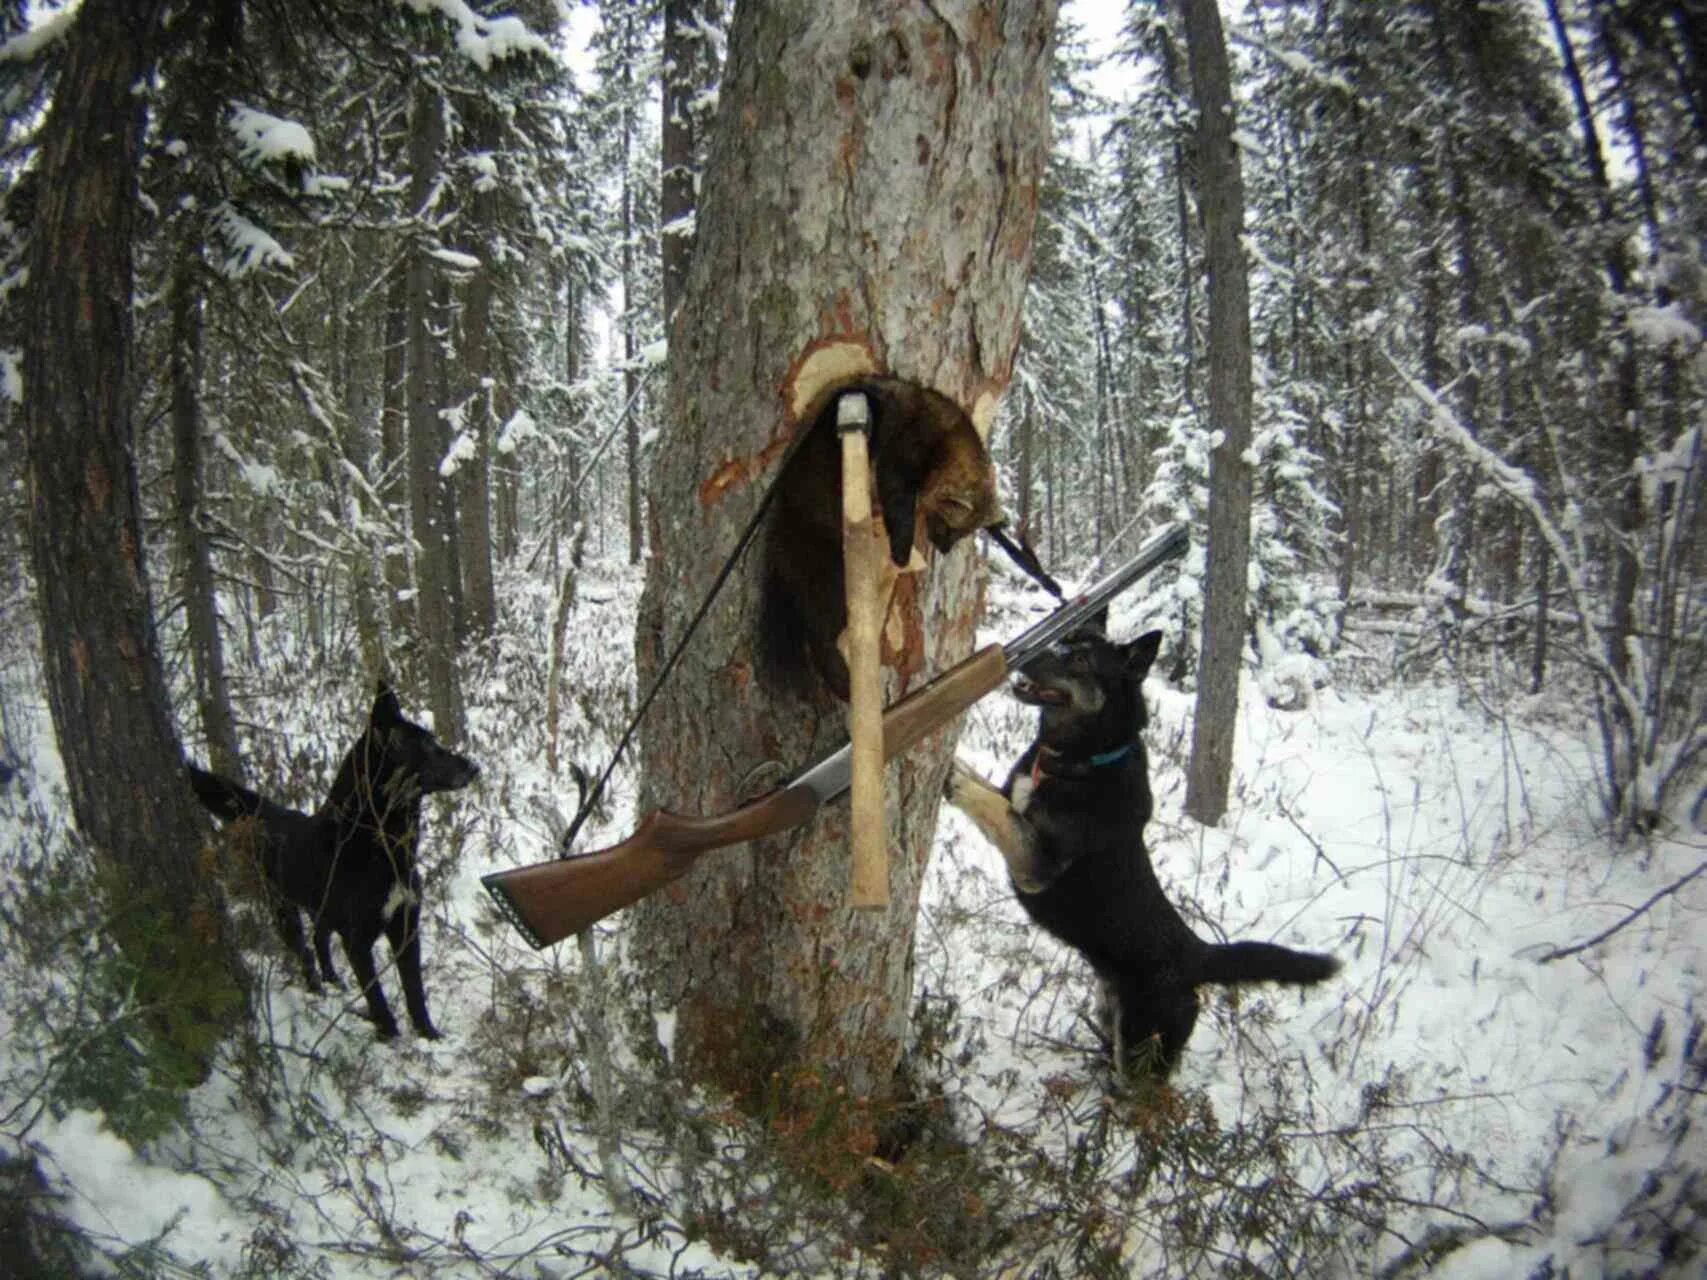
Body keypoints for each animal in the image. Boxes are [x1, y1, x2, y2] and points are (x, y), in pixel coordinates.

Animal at [186, 682, 477, 1044]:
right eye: (426, 745)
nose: (474, 768)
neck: (377, 841)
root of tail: (268, 813)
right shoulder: (357, 939)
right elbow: (376, 995)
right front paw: (390, 1035)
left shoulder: (406, 926)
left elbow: (414, 991)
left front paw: (428, 1034)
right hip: (283, 909)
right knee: (302, 950)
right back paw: (316, 988)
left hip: (320, 909)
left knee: (318, 939)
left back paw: (332, 978)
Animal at [942, 628, 1338, 1078]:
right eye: (1067, 639)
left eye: (1080, 659)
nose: (1022, 652)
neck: (1082, 758)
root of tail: (1198, 956)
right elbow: (995, 795)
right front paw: (960, 763)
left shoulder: (1037, 866)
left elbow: (998, 809)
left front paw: (955, 779)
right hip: (1114, 1018)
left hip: (1143, 1045)